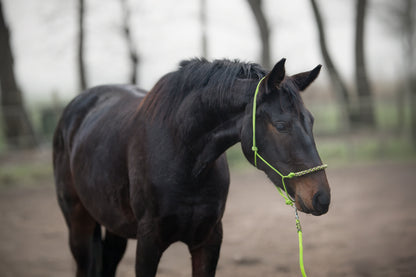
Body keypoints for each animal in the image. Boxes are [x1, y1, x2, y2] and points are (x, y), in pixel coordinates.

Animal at [52, 57, 332, 274]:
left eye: (311, 121)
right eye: (281, 125)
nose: (321, 198)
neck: (184, 158)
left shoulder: (208, 240)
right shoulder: (148, 242)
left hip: (114, 226)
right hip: (78, 223)